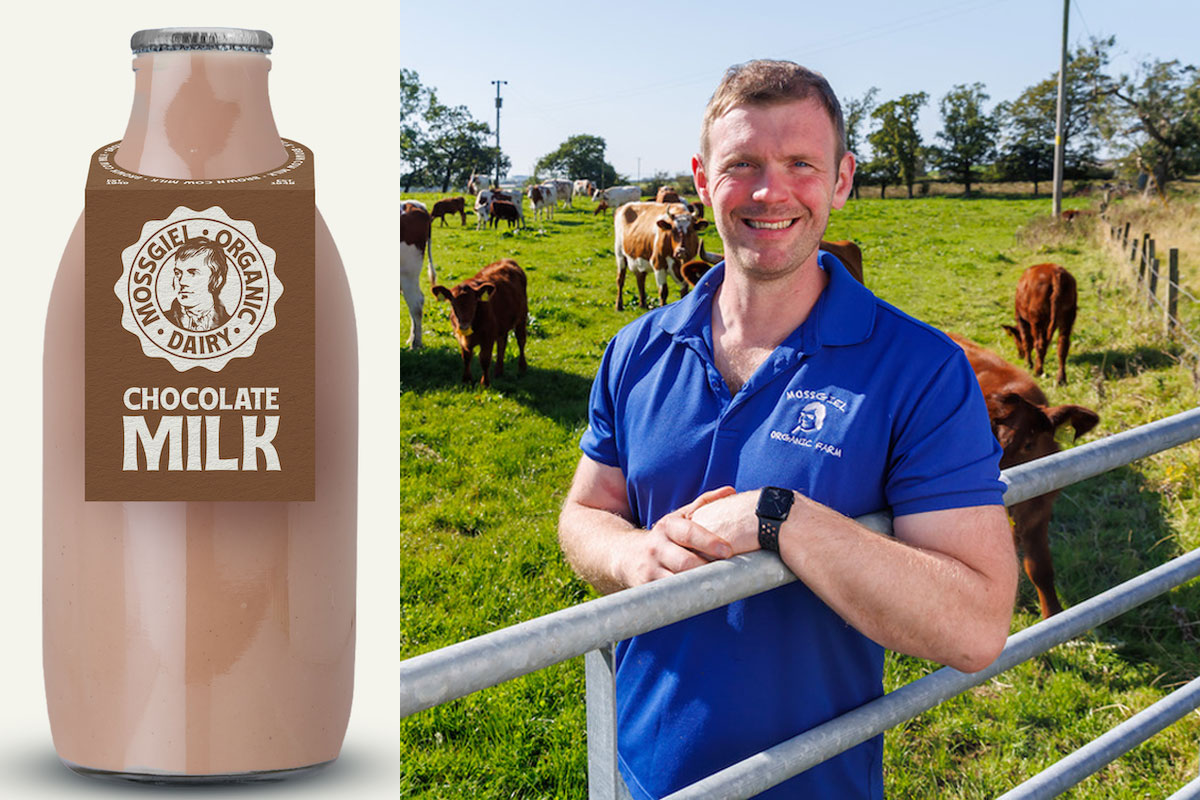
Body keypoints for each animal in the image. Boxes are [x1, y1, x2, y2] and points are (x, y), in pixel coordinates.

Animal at [429, 257, 528, 386]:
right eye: (452, 303)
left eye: (474, 303)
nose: (464, 325)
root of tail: (507, 260)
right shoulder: (461, 338)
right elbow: (466, 358)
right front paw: (466, 380)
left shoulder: (488, 338)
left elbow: (484, 359)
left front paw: (484, 383)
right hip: (502, 325)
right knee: (502, 343)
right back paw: (498, 371)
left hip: (522, 317)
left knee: (521, 341)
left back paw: (522, 368)